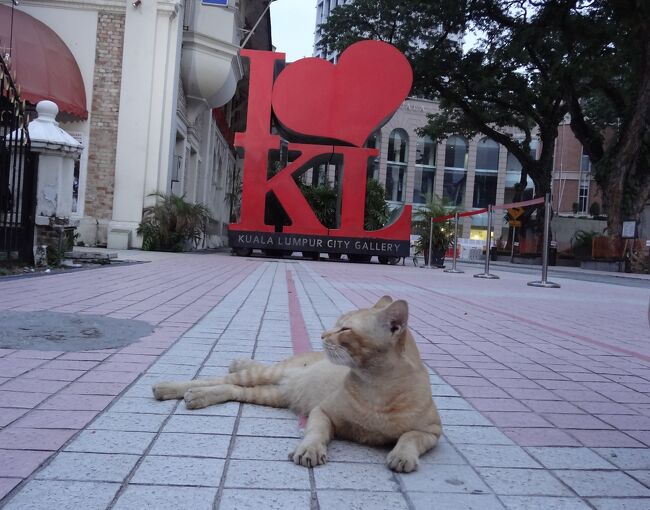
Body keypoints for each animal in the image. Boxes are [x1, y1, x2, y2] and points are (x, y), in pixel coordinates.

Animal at [152, 296, 440, 472]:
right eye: (336, 325)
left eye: (345, 329)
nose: (322, 334)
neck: (376, 387)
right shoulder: (322, 412)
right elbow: (316, 433)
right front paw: (309, 450)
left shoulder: (432, 432)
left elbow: (409, 437)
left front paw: (402, 456)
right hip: (266, 375)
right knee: (220, 378)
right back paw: (168, 387)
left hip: (270, 395)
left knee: (233, 389)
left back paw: (198, 397)